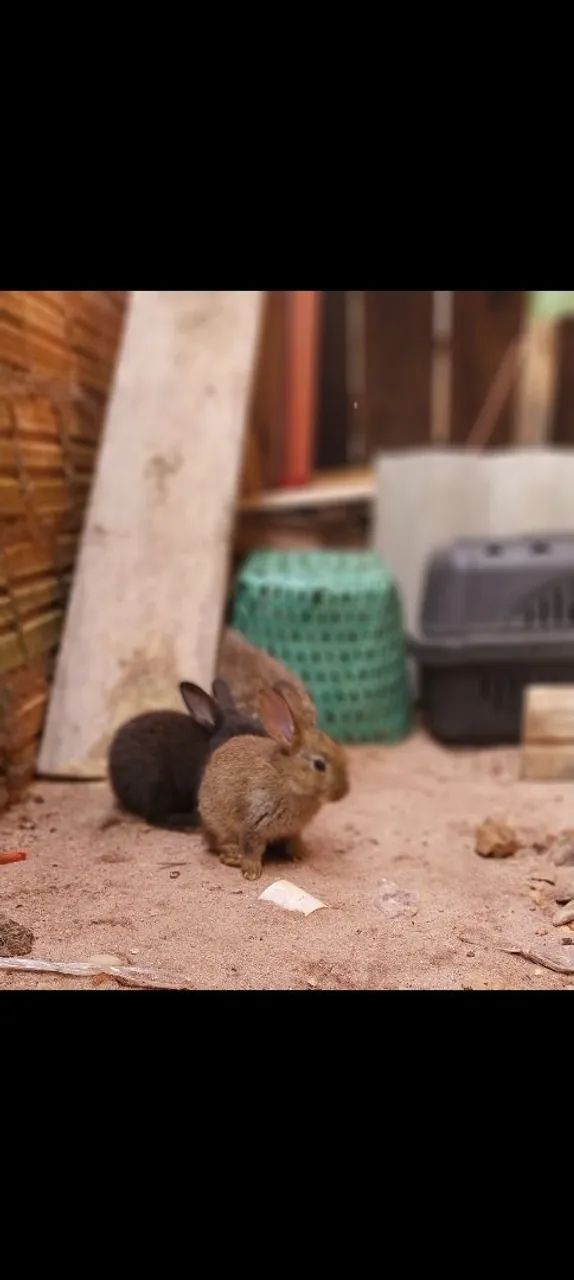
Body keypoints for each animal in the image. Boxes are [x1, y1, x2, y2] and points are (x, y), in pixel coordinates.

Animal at [198, 682, 349, 880]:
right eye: (319, 764)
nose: (343, 792)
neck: (287, 779)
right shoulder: (253, 824)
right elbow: (252, 850)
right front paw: (251, 872)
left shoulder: (294, 831)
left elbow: (294, 841)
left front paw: (302, 853)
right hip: (218, 823)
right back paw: (233, 856)